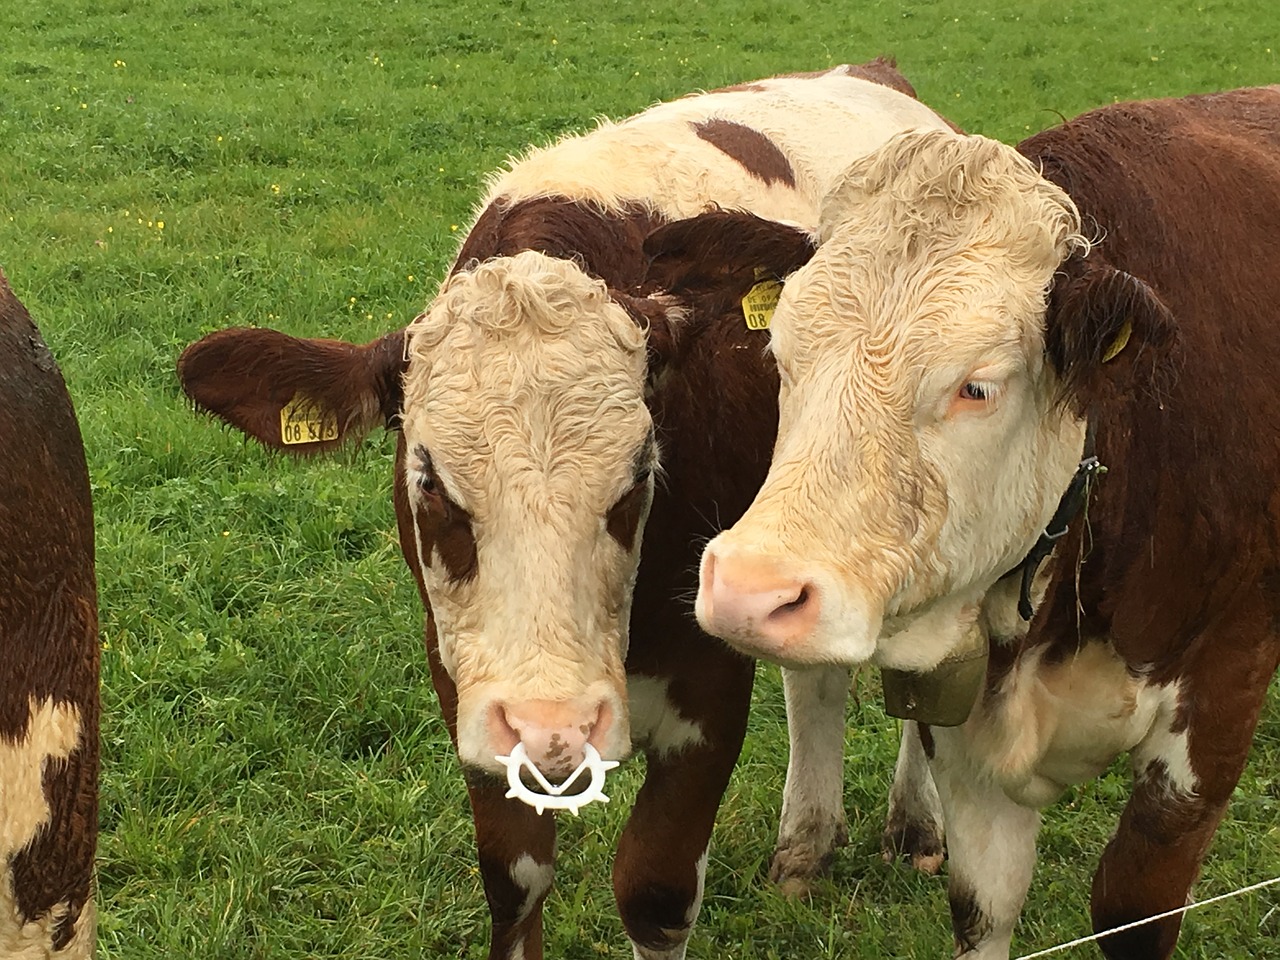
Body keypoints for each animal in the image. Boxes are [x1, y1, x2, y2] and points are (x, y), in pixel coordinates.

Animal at [180, 64, 957, 957]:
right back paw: (804, 848)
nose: (555, 723)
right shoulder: (466, 680)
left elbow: (653, 889)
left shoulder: (710, 687)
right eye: (429, 480)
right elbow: (515, 882)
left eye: (640, 473)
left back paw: (916, 826)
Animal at [691, 86, 1280, 957]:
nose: (749, 590)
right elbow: (983, 906)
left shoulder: (1219, 697)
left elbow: (1132, 908)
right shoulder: (965, 743)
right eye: (780, 355)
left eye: (978, 386)